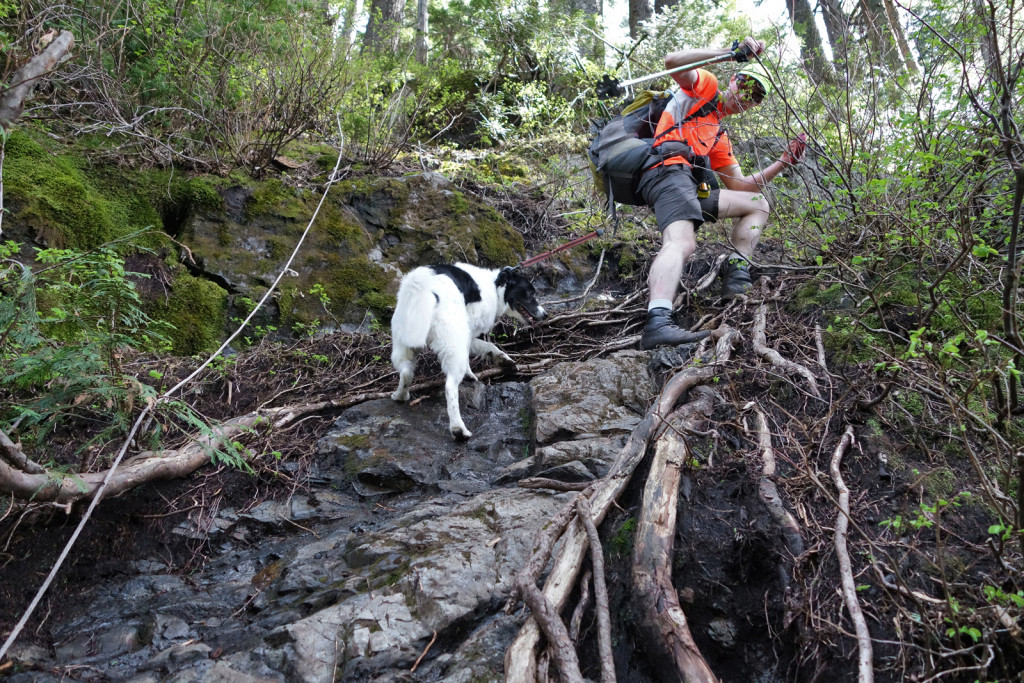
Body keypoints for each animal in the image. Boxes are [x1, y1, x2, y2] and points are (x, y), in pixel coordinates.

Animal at [387, 262, 544, 438]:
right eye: (530, 292)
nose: (545, 315)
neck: (495, 285)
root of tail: (421, 289)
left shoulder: (467, 332)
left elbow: (485, 345)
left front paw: (501, 358)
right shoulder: (468, 328)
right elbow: (475, 349)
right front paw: (472, 374)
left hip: (404, 344)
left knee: (406, 372)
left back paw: (400, 396)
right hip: (453, 342)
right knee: (450, 387)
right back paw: (459, 429)